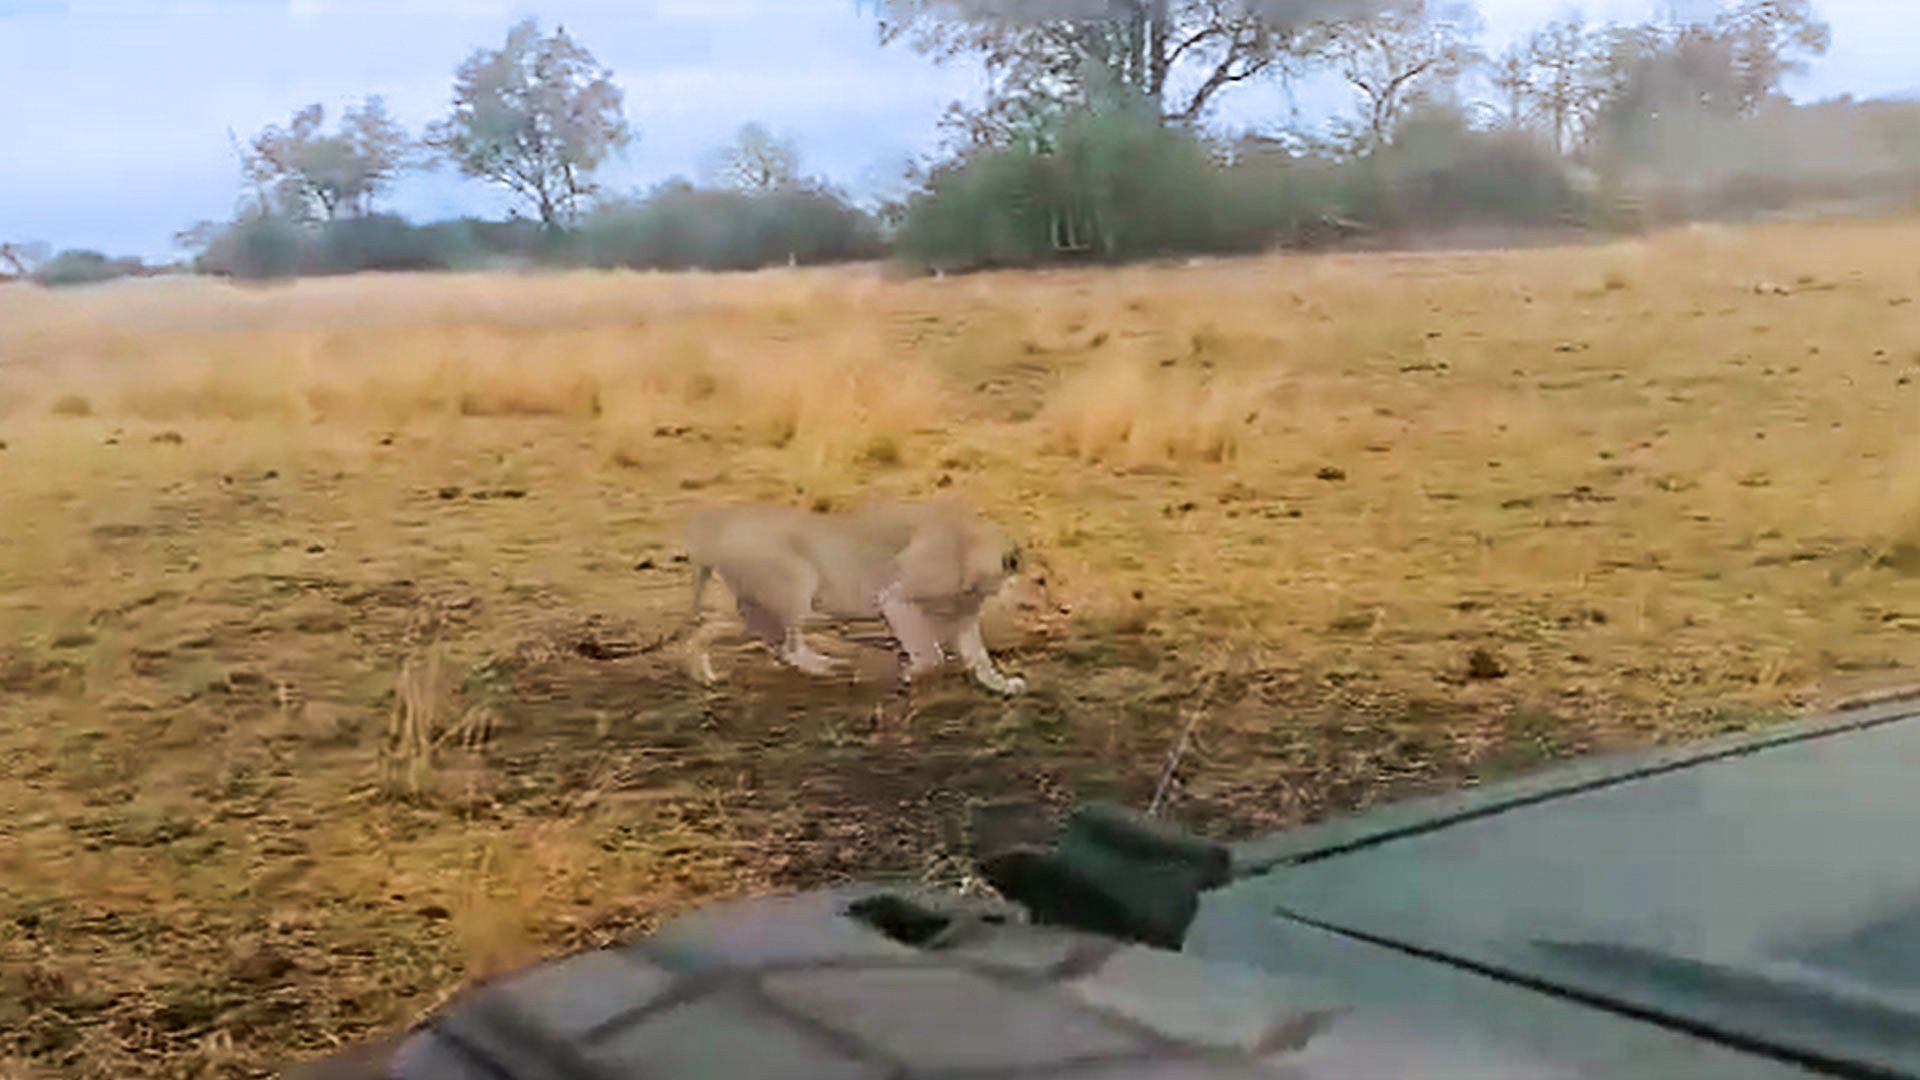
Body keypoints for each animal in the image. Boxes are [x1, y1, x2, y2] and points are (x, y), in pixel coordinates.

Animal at [682, 496, 1030, 696]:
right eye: (1038, 581)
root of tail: (713, 537)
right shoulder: (895, 598)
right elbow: (932, 655)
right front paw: (909, 673)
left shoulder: (964, 619)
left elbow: (979, 659)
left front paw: (1002, 685)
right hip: (795, 586)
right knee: (790, 648)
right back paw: (831, 665)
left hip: (759, 608)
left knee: (715, 631)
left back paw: (705, 675)